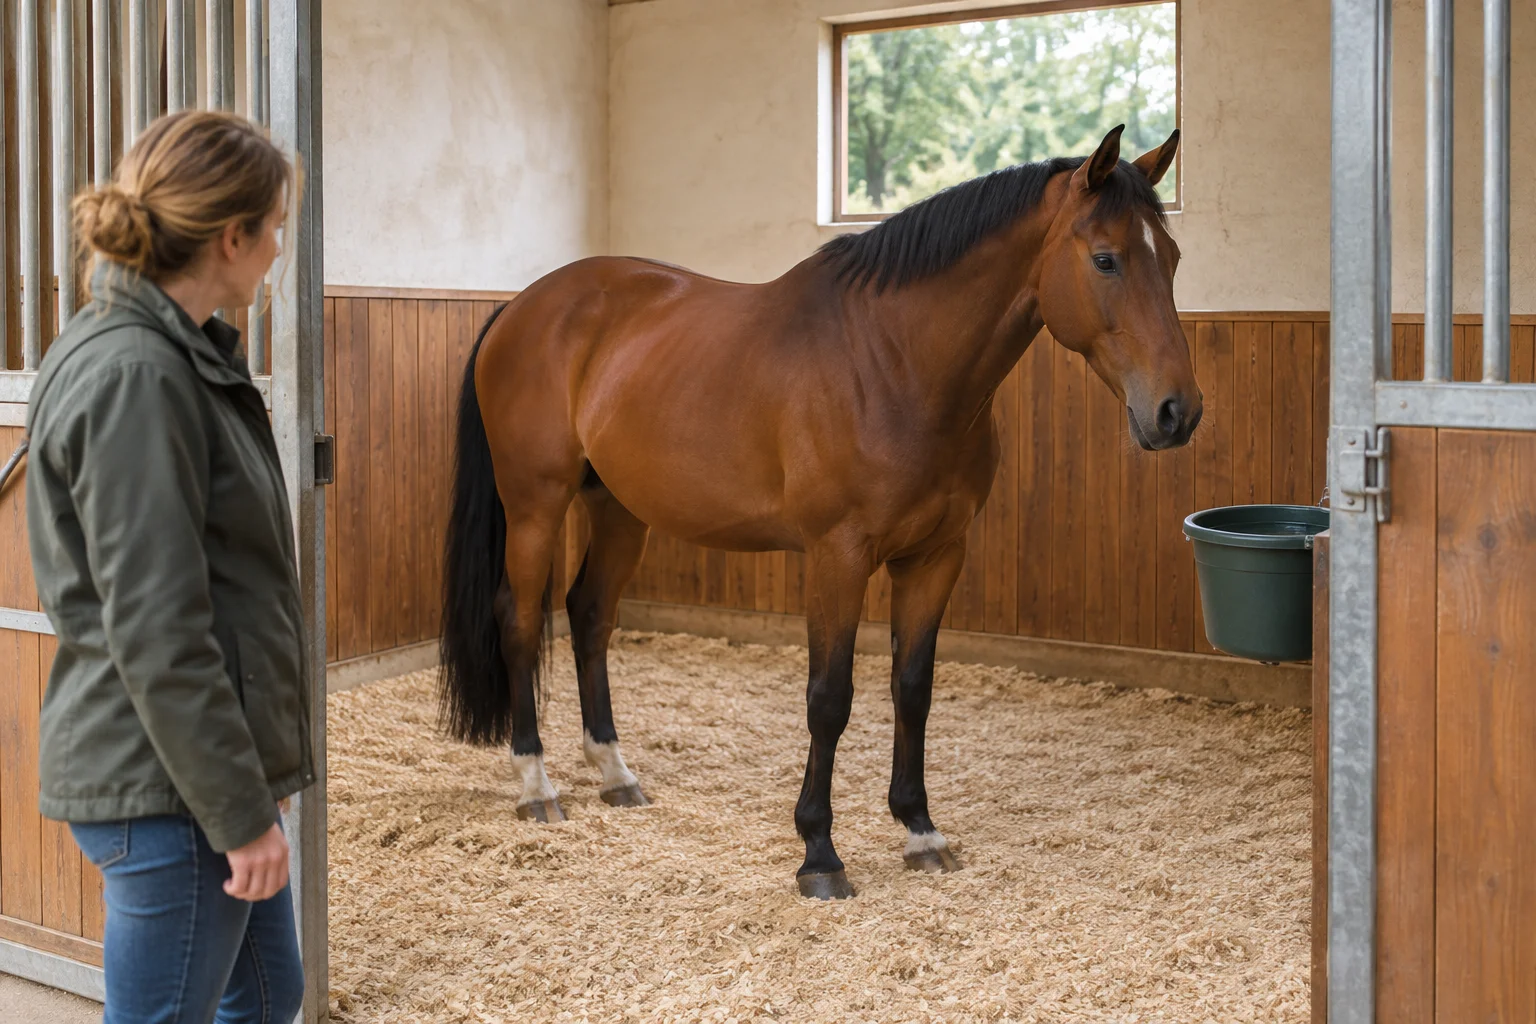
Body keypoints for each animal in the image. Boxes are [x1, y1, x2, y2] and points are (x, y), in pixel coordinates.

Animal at [438, 125, 1199, 900]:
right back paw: (536, 784)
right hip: (535, 504)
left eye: (1169, 258)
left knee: (589, 614)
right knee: (521, 620)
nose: (1177, 411)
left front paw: (920, 830)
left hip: (620, 509)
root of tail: (520, 307)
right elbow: (829, 698)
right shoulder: (838, 555)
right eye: (1105, 258)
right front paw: (819, 853)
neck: (894, 363)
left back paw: (616, 773)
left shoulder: (936, 556)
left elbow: (913, 688)